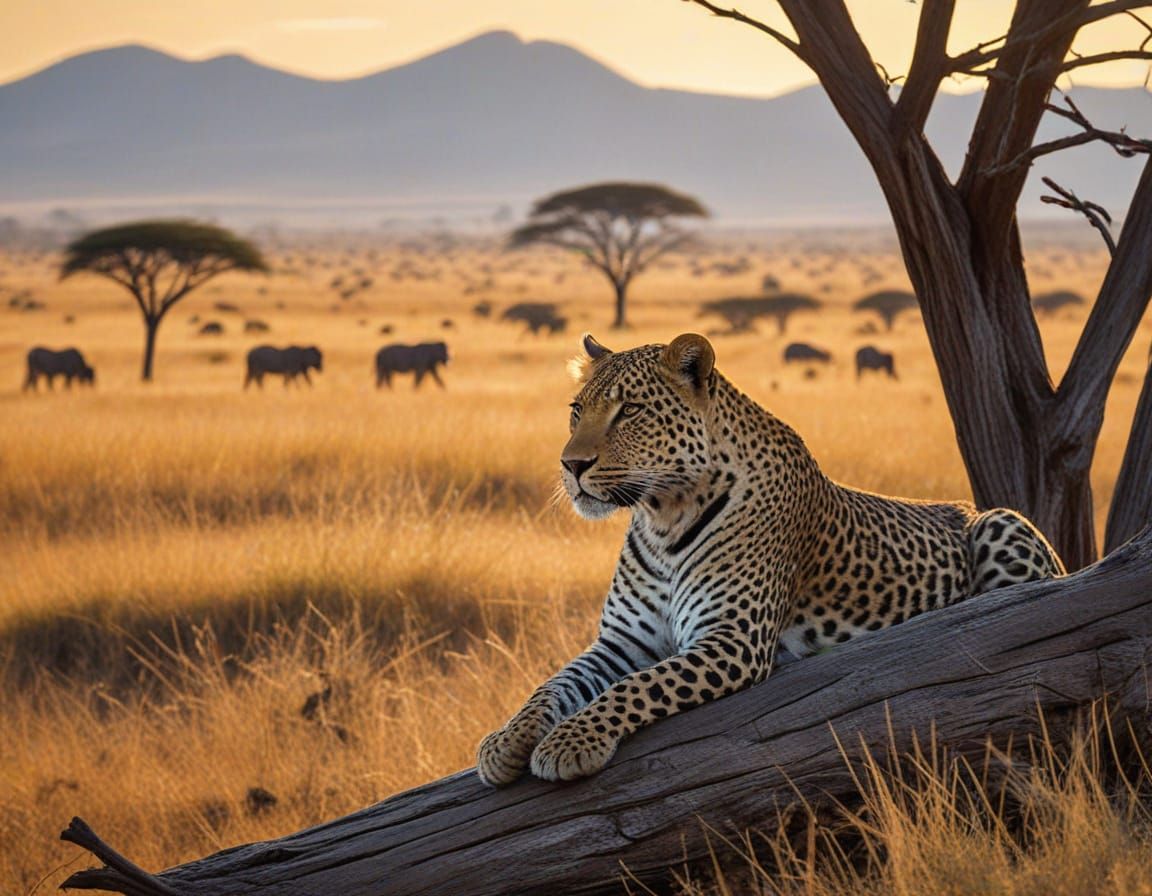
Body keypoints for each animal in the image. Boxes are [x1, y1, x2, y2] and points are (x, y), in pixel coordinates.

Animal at [477, 333, 1064, 786]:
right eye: (577, 411)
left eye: (631, 412)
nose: (571, 465)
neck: (663, 517)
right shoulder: (623, 643)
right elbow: (552, 685)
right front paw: (505, 741)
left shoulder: (731, 638)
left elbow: (637, 687)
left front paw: (570, 743)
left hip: (1001, 522)